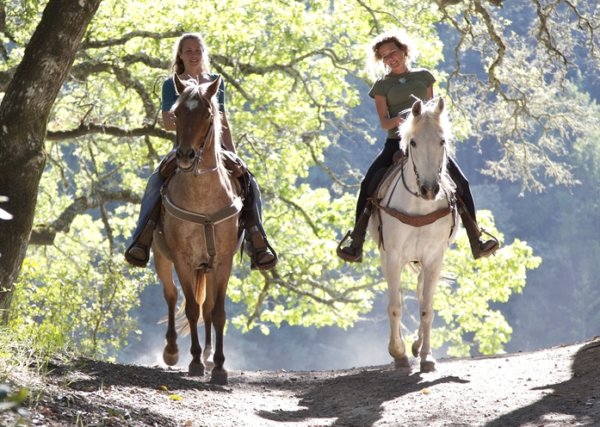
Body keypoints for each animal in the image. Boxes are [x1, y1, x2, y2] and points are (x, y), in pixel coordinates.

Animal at [152, 73, 241, 384]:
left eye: (207, 114)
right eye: (177, 113)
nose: (186, 156)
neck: (203, 201)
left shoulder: (223, 261)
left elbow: (218, 312)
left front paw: (220, 367)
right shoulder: (183, 259)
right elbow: (190, 308)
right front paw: (194, 362)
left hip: (208, 267)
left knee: (208, 308)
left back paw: (209, 354)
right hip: (161, 257)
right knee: (171, 296)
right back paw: (172, 351)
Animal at [368, 98, 458, 374]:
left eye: (442, 141)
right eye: (414, 142)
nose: (429, 189)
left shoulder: (434, 258)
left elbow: (426, 308)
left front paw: (427, 357)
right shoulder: (393, 256)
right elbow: (395, 307)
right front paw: (398, 353)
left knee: (419, 293)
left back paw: (417, 346)